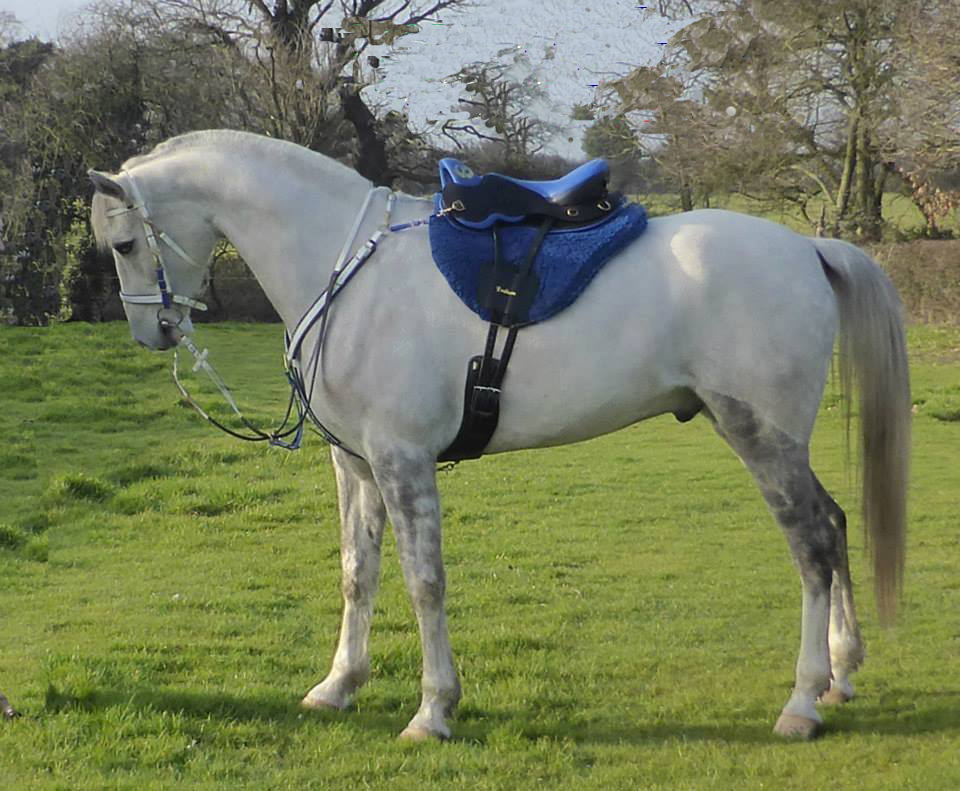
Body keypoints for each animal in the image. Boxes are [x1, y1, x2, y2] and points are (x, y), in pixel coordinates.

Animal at [28, 128, 905, 741]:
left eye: (126, 242)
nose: (153, 333)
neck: (344, 268)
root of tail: (807, 246)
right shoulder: (356, 464)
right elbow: (357, 574)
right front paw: (339, 685)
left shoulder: (402, 459)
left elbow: (424, 582)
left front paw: (433, 710)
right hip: (776, 440)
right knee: (835, 522)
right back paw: (841, 673)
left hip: (759, 436)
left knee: (811, 545)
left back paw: (802, 700)